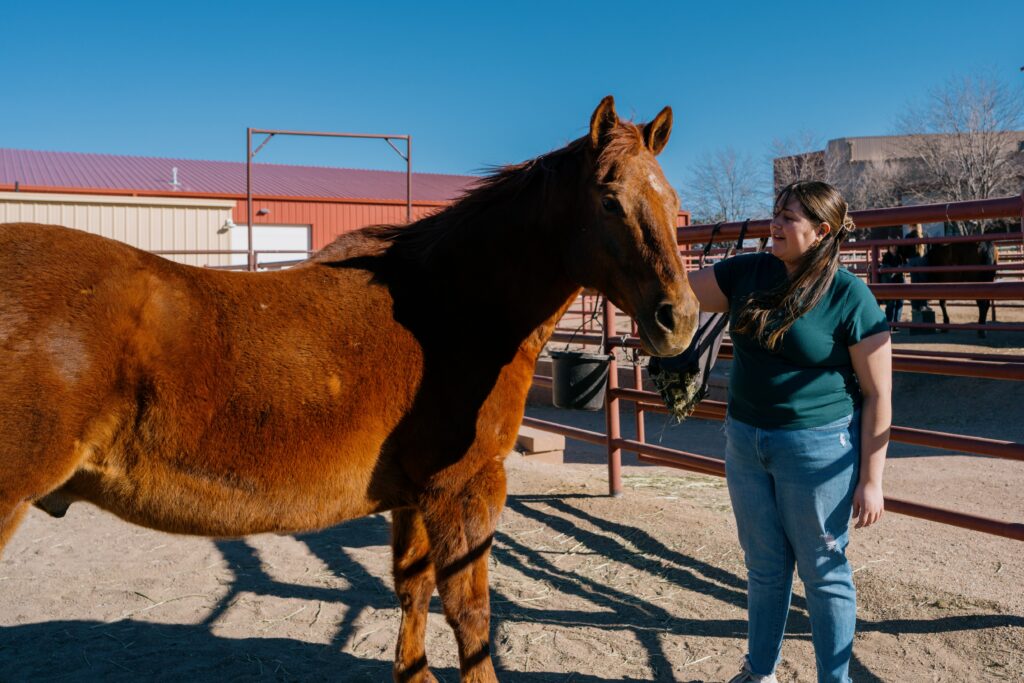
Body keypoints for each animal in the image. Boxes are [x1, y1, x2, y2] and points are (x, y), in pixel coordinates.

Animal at [0, 96, 699, 682]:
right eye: (609, 199)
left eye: (671, 202)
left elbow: (412, 588)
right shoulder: (466, 488)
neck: (451, 306)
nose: (681, 319)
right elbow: (470, 612)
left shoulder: (415, 496)